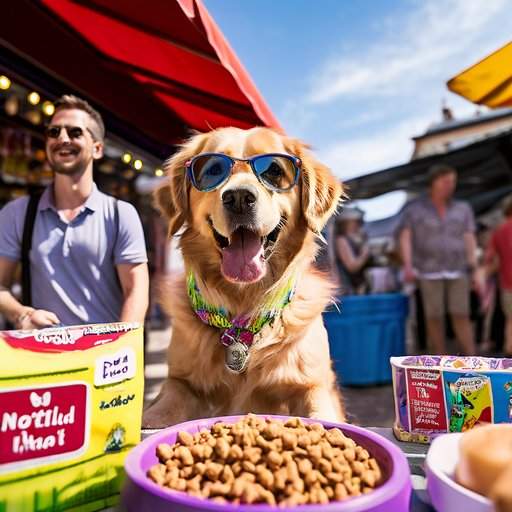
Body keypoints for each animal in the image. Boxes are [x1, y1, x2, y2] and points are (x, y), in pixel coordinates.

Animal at [142, 128, 346, 428]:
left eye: (273, 170)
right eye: (213, 170)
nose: (238, 198)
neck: (243, 309)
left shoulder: (314, 385)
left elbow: (321, 413)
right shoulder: (179, 380)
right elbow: (169, 400)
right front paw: (152, 419)